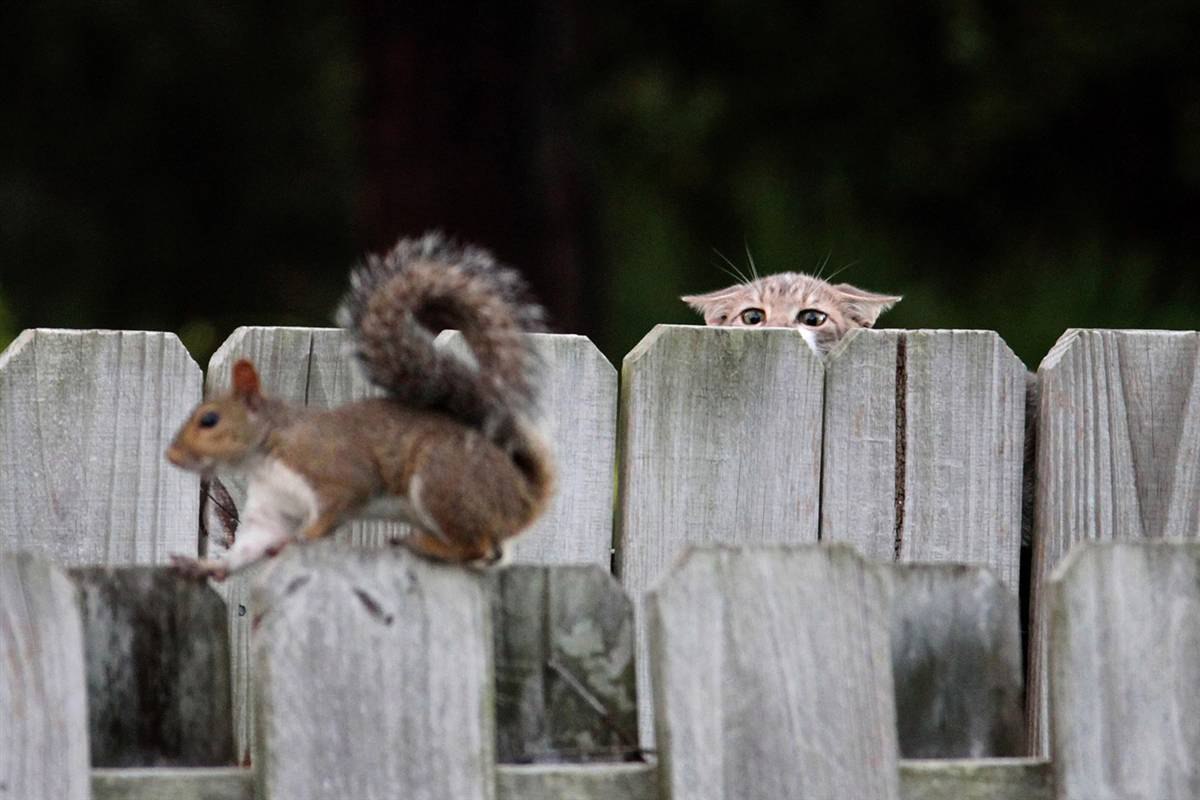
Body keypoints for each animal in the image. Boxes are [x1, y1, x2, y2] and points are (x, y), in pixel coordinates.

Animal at [165, 235, 556, 578]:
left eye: (209, 420)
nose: (171, 455)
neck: (266, 453)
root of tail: (523, 494)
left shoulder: (335, 473)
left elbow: (335, 507)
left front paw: (300, 539)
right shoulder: (273, 508)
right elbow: (252, 544)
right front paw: (205, 567)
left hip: (443, 482)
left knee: (477, 546)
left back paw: (422, 545)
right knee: (490, 553)